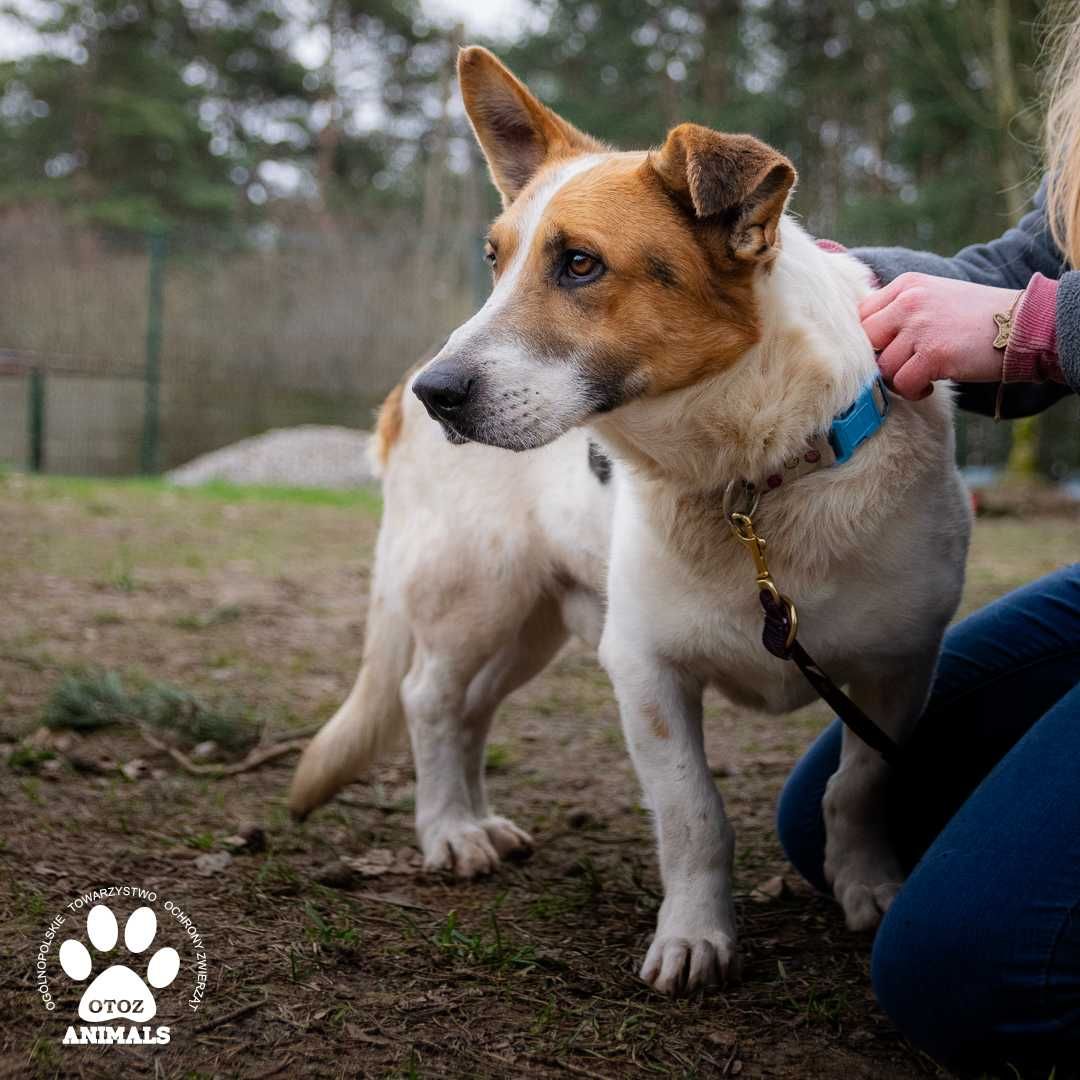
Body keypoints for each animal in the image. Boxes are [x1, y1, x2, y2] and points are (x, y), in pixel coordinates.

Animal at [291, 48, 976, 993]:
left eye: (579, 264)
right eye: (495, 259)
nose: (440, 395)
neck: (752, 479)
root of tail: (397, 387)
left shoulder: (899, 669)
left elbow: (858, 787)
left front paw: (866, 885)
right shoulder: (645, 670)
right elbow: (694, 814)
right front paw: (696, 935)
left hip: (532, 625)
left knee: (470, 709)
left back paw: (474, 815)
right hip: (476, 597)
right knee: (428, 698)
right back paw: (451, 829)